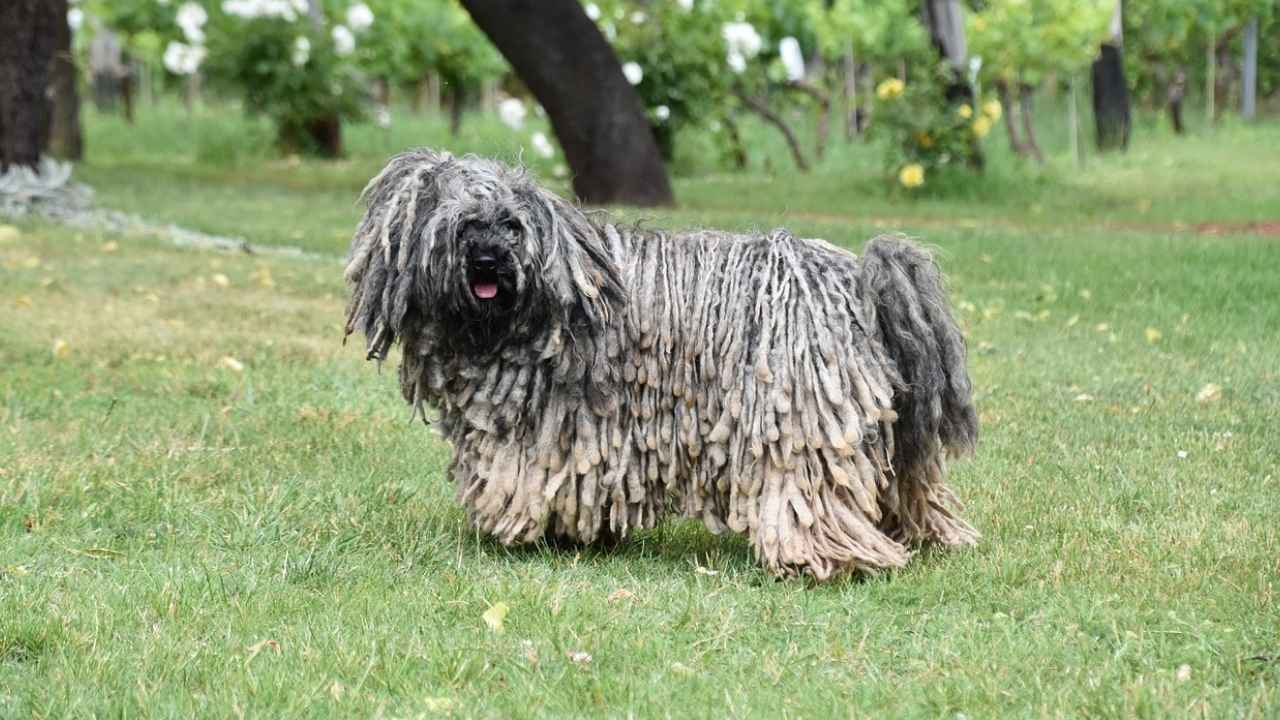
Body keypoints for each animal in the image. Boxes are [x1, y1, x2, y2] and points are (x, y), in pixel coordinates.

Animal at [345, 149, 972, 576]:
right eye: (465, 225)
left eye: (511, 226)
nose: (488, 261)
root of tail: (855, 279)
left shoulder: (551, 426)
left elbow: (533, 478)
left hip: (800, 415)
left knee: (807, 489)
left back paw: (820, 559)